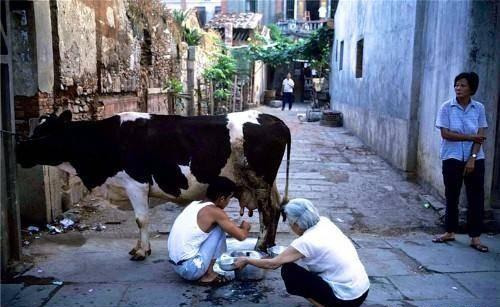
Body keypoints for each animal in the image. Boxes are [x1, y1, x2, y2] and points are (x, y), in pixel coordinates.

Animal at [17, 109, 292, 262]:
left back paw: (260, 245)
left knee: (268, 212)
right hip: (267, 183)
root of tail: (274, 120)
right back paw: (268, 244)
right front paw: (139, 248)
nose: (18, 150)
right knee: (276, 207)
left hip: (259, 180)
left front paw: (142, 252)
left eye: (43, 133)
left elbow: (141, 219)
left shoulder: (136, 184)